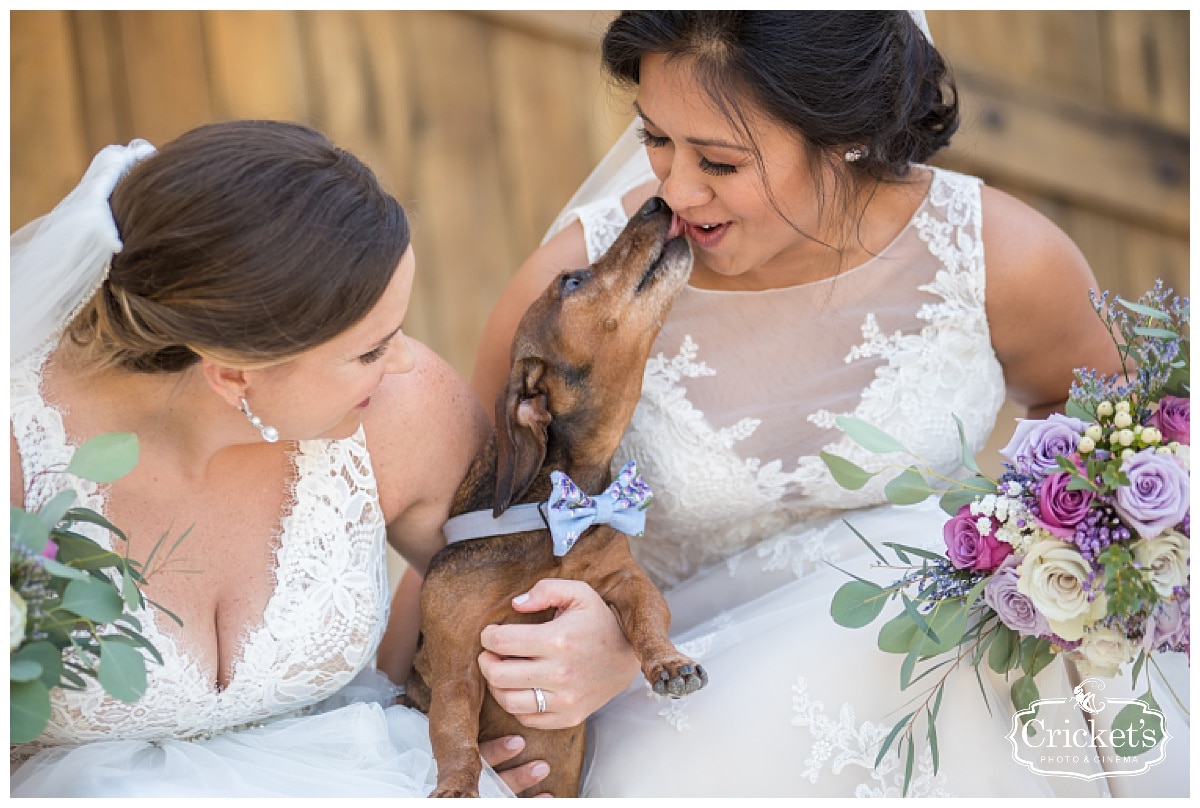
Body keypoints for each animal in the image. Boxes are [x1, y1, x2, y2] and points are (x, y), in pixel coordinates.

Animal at [405, 196, 700, 792]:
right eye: (572, 280)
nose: (658, 201)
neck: (547, 511)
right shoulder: (456, 660)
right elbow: (453, 729)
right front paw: (457, 786)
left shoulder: (623, 579)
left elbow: (647, 615)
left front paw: (668, 661)